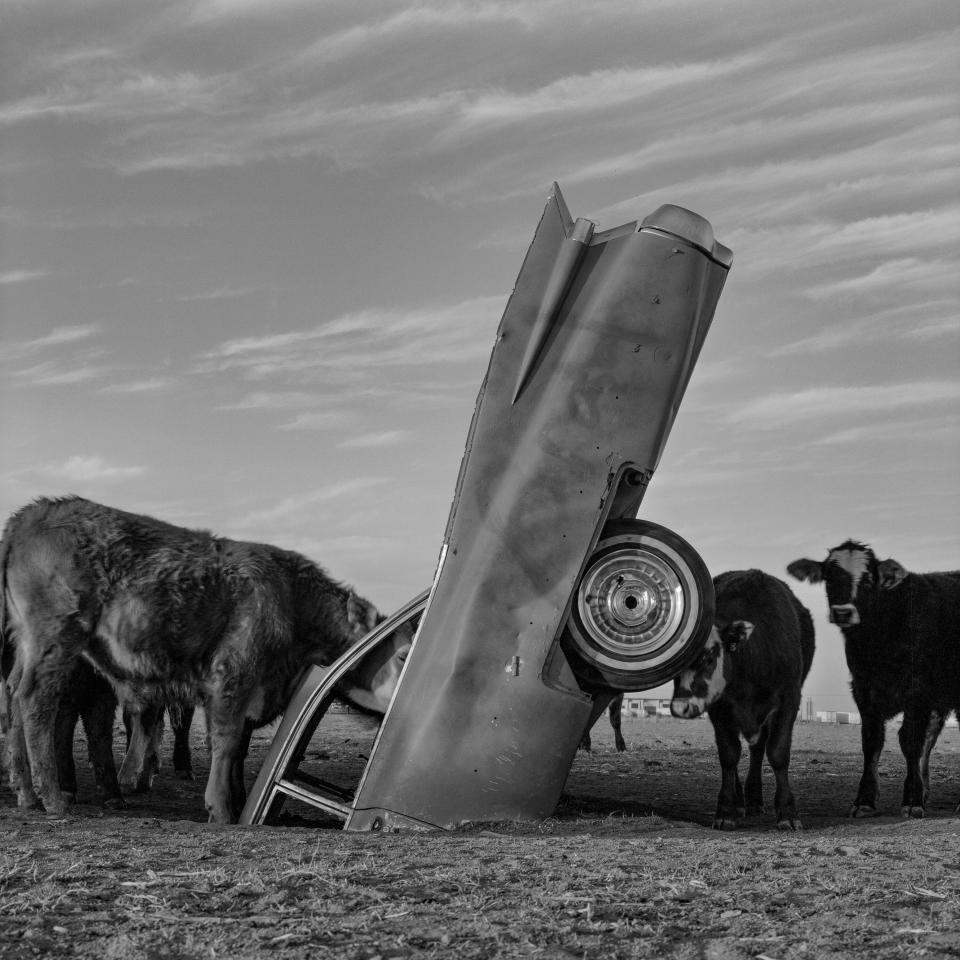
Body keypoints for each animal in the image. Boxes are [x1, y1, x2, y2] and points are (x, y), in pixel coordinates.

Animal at [0, 498, 400, 820]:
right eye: (400, 654)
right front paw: (221, 810)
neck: (291, 596)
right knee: (37, 701)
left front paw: (237, 800)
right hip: (57, 638)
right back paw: (54, 798)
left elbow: (238, 749)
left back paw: (28, 794)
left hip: (31, 647)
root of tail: (31, 514)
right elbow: (225, 741)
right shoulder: (232, 675)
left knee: (16, 695)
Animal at [672, 568, 812, 832]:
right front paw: (726, 810)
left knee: (758, 749)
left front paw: (788, 812)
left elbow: (778, 753)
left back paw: (755, 799)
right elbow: (729, 755)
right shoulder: (719, 709)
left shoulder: (788, 700)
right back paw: (740, 801)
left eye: (709, 658)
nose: (680, 707)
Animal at [788, 540, 960, 816]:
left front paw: (912, 801)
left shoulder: (917, 692)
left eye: (868, 579)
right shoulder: (864, 690)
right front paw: (865, 800)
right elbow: (872, 743)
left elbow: (910, 741)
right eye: (828, 576)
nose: (843, 613)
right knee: (930, 740)